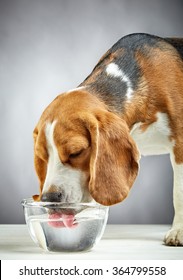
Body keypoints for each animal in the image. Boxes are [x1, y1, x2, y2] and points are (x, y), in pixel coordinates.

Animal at [33, 34, 183, 246]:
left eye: (76, 152)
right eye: (43, 157)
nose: (49, 198)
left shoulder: (180, 143)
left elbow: (179, 192)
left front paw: (179, 230)